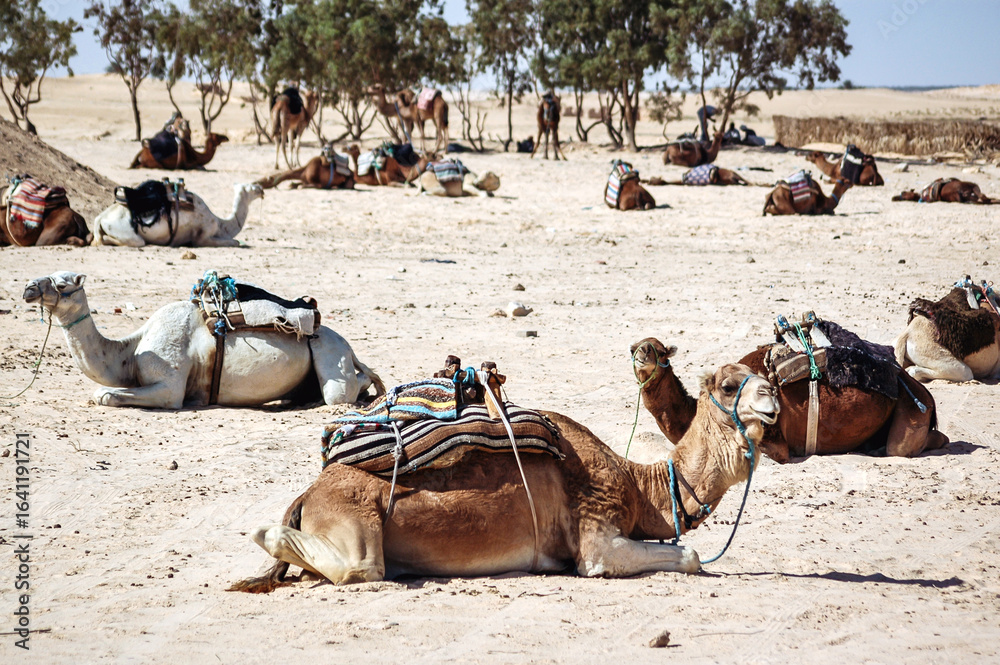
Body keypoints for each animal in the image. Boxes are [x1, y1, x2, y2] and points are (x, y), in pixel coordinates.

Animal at [23, 271, 385, 408]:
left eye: (63, 284)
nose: (28, 287)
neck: (129, 351)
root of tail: (347, 345)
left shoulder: (170, 388)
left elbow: (105, 395)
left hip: (329, 351)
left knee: (343, 391)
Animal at [92, 182, 263, 247]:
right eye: (252, 187)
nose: (262, 189)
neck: (220, 223)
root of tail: (100, 217)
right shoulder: (202, 236)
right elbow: (235, 242)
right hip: (126, 232)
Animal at [230, 362, 779, 591]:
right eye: (728, 384)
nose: (771, 396)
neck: (636, 485)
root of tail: (308, 494)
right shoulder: (596, 538)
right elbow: (688, 557)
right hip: (355, 524)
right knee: (359, 567)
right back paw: (263, 531)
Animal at [630, 337, 946, 464]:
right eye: (633, 347)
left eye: (660, 350)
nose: (642, 352)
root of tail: (924, 393)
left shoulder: (776, 443)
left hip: (911, 410)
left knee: (906, 446)